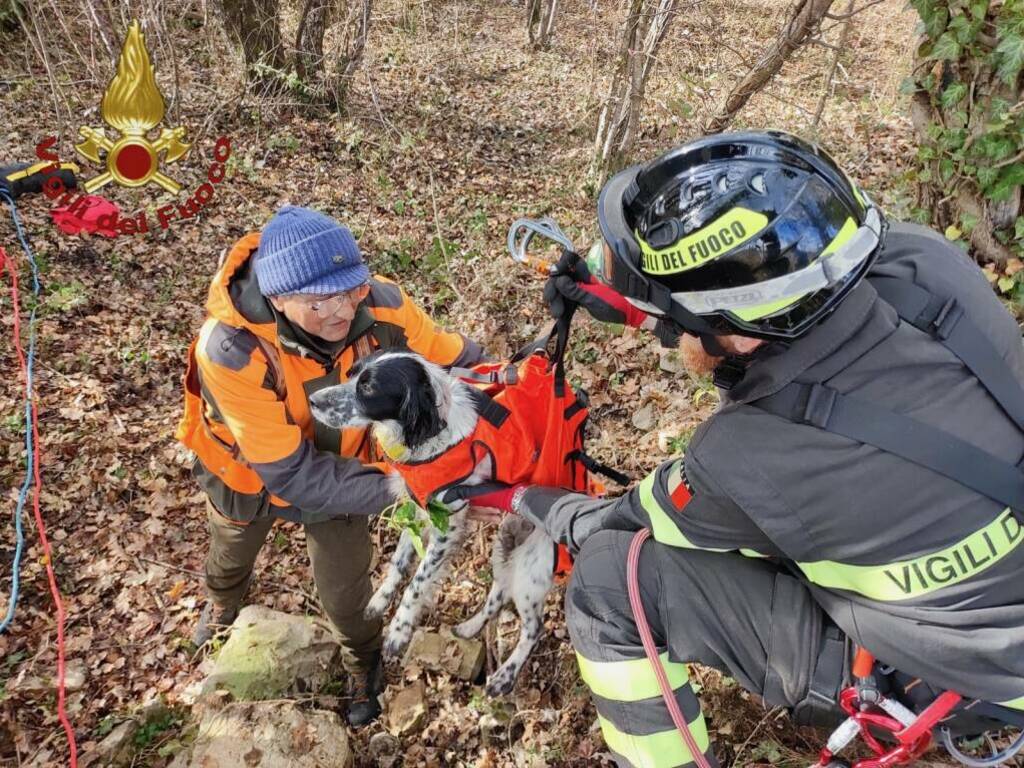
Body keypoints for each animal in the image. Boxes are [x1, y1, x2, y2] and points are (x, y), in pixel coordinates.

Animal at [307, 352, 557, 700]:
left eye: (368, 387)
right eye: (352, 373)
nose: (313, 401)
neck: (431, 435)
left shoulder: (447, 526)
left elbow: (418, 582)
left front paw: (399, 630)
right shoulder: (416, 510)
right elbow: (399, 563)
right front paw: (380, 600)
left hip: (532, 570)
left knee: (534, 627)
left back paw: (505, 676)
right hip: (506, 548)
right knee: (497, 594)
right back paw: (469, 628)